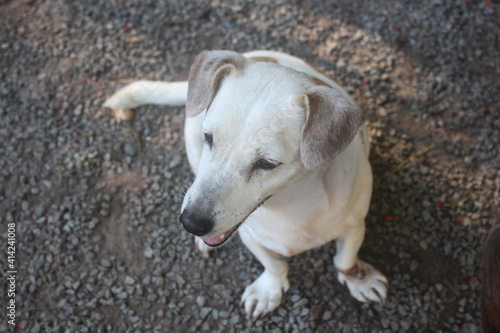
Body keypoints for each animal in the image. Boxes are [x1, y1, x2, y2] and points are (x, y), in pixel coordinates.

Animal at [103, 50, 388, 320]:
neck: (292, 205)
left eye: (267, 163)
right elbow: (273, 265)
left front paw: (358, 279)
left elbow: (344, 261)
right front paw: (269, 290)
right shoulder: (250, 236)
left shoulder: (354, 227)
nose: (191, 223)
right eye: (209, 137)